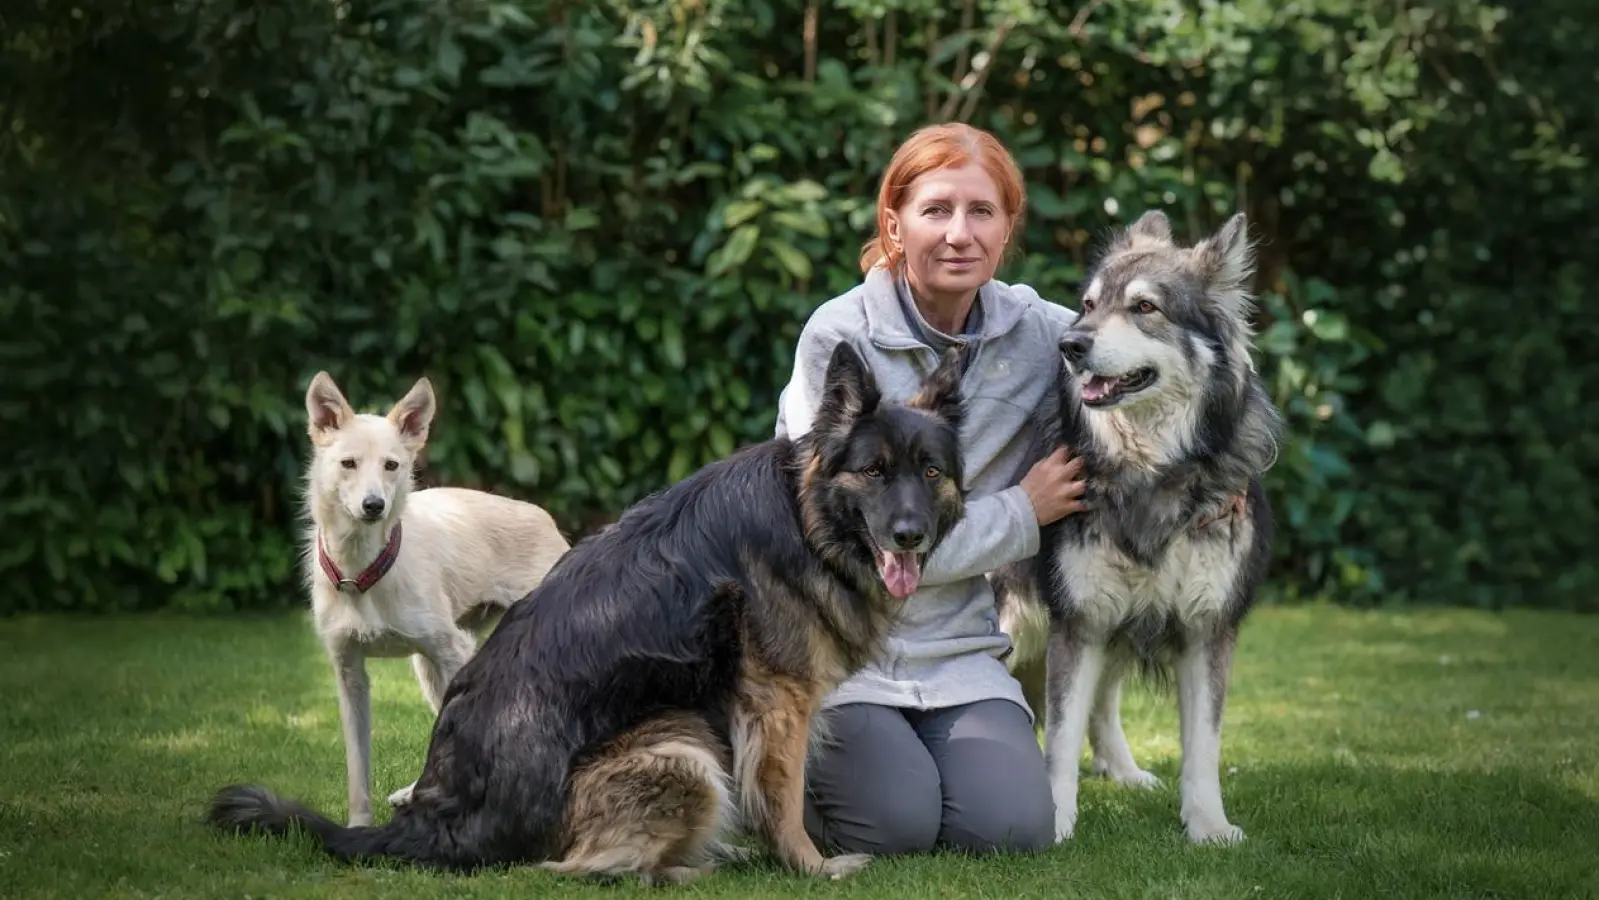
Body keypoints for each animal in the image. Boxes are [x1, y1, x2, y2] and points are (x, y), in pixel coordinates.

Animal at [299, 371, 571, 827]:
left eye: (391, 466)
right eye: (348, 464)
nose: (374, 506)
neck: (363, 570)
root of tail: (546, 518)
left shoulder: (452, 654)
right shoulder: (349, 673)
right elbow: (357, 768)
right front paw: (359, 826)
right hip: (426, 667)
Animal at [991, 210, 1284, 846]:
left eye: (1144, 307)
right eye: (1088, 304)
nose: (1070, 345)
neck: (1151, 471)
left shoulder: (1205, 628)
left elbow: (1203, 746)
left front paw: (1208, 824)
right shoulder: (1079, 619)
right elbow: (1060, 737)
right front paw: (1054, 822)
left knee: (1104, 702)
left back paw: (1122, 770)